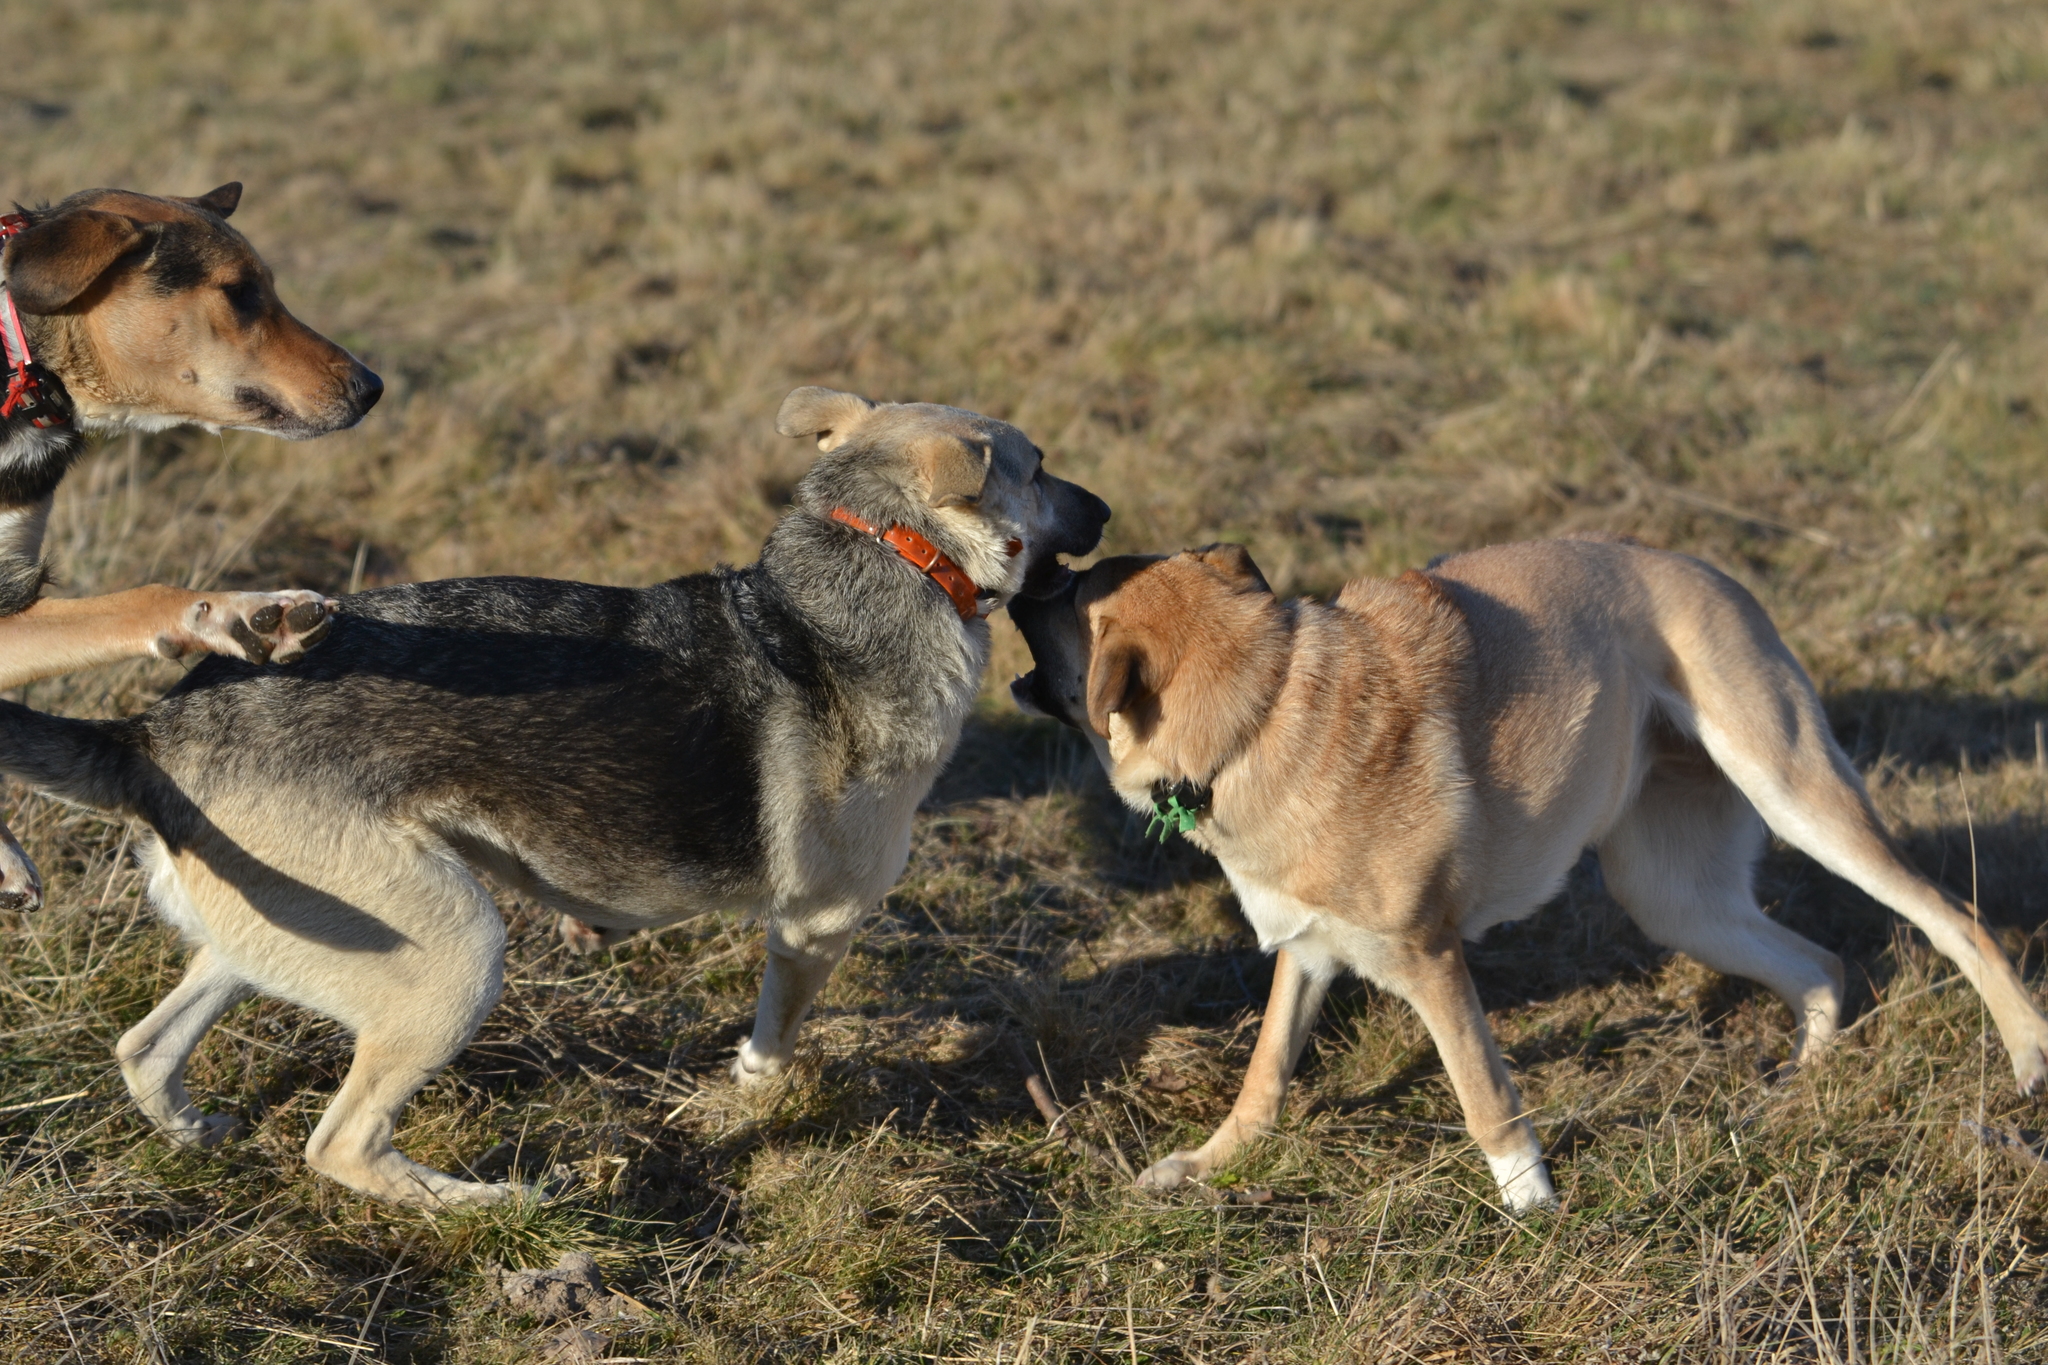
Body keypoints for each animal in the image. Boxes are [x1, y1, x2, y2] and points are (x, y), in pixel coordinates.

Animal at [0, 388, 1105, 1211]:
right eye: (1042, 465)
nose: (1107, 511)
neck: (883, 549)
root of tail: (149, 735)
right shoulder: (815, 922)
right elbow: (772, 1039)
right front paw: (756, 1097)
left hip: (291, 935)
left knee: (148, 1048)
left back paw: (196, 1130)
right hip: (453, 951)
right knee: (342, 1142)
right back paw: (493, 1203)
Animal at [1007, 536, 2048, 1219]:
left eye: (1064, 601)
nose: (1017, 584)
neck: (1262, 710)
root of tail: (1710, 570)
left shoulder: (1430, 960)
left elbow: (1484, 1095)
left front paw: (1532, 1205)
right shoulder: (1308, 949)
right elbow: (1264, 1076)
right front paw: (1207, 1164)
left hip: (1796, 790)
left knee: (1955, 916)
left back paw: (2028, 1054)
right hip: (1675, 898)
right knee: (1821, 966)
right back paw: (1795, 1088)